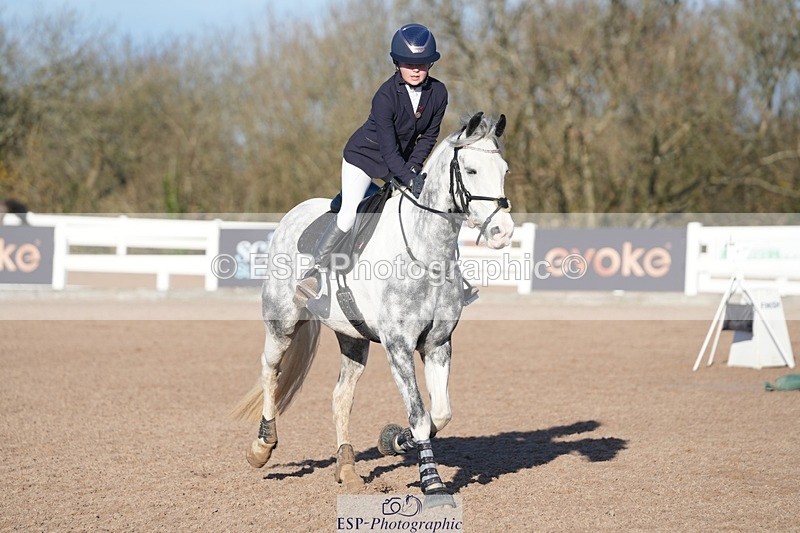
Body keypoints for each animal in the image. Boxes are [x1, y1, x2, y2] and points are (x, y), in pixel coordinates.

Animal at [232, 112, 515, 506]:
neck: (426, 252)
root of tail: (294, 214)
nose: (503, 231)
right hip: (282, 323)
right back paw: (262, 446)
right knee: (270, 371)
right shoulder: (398, 346)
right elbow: (420, 415)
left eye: (504, 169)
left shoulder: (438, 344)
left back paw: (347, 469)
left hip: (353, 337)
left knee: (341, 396)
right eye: (471, 170)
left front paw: (392, 440)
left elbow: (439, 414)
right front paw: (433, 485)